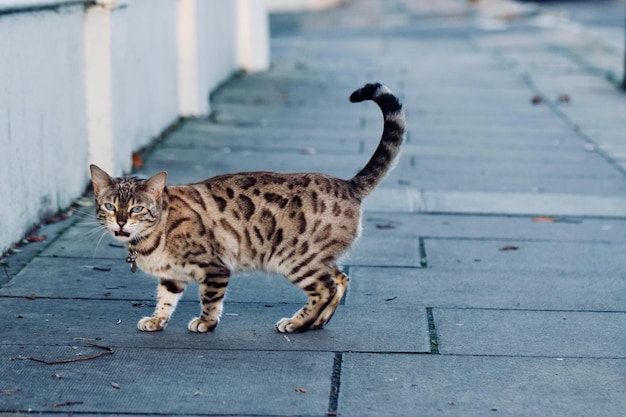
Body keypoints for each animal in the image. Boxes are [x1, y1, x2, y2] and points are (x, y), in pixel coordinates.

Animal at [89, 83, 404, 334]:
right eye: (110, 206)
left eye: (137, 209)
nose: (120, 222)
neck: (149, 241)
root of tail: (347, 184)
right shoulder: (172, 277)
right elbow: (165, 300)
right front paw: (157, 321)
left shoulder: (214, 267)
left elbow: (210, 299)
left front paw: (206, 323)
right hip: (317, 257)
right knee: (340, 279)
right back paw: (316, 322)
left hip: (296, 259)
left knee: (326, 288)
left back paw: (297, 323)